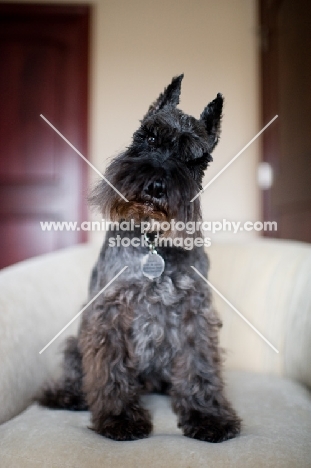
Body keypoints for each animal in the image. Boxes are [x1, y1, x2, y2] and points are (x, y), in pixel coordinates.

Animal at [39, 74, 243, 442]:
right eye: (148, 137)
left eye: (195, 159)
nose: (156, 186)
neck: (152, 240)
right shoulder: (109, 312)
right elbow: (111, 369)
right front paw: (120, 418)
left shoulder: (194, 312)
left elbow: (200, 366)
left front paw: (207, 416)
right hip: (76, 342)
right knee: (76, 373)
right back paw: (66, 395)